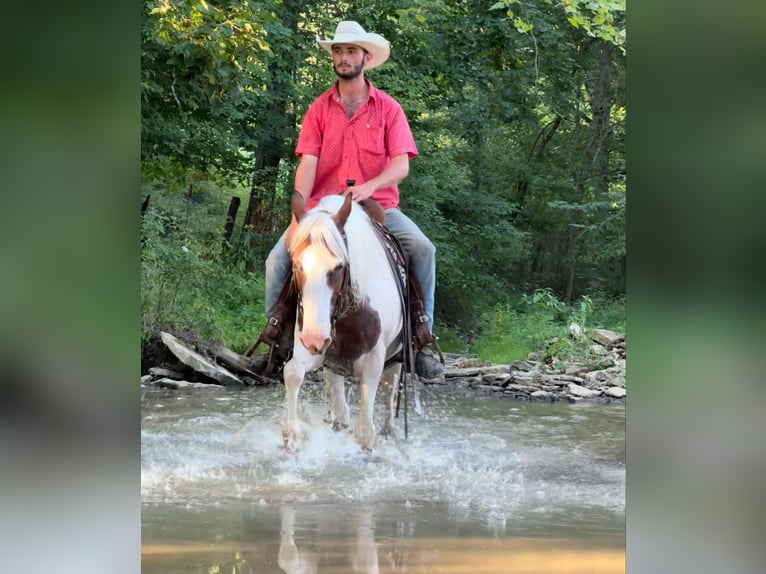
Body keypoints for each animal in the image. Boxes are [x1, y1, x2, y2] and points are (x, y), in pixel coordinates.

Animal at [282, 192, 403, 451]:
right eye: (297, 264)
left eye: (338, 266)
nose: (315, 337)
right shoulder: (312, 347)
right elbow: (293, 371)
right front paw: (291, 433)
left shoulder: (374, 360)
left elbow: (366, 431)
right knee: (336, 391)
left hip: (396, 356)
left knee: (389, 389)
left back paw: (390, 430)